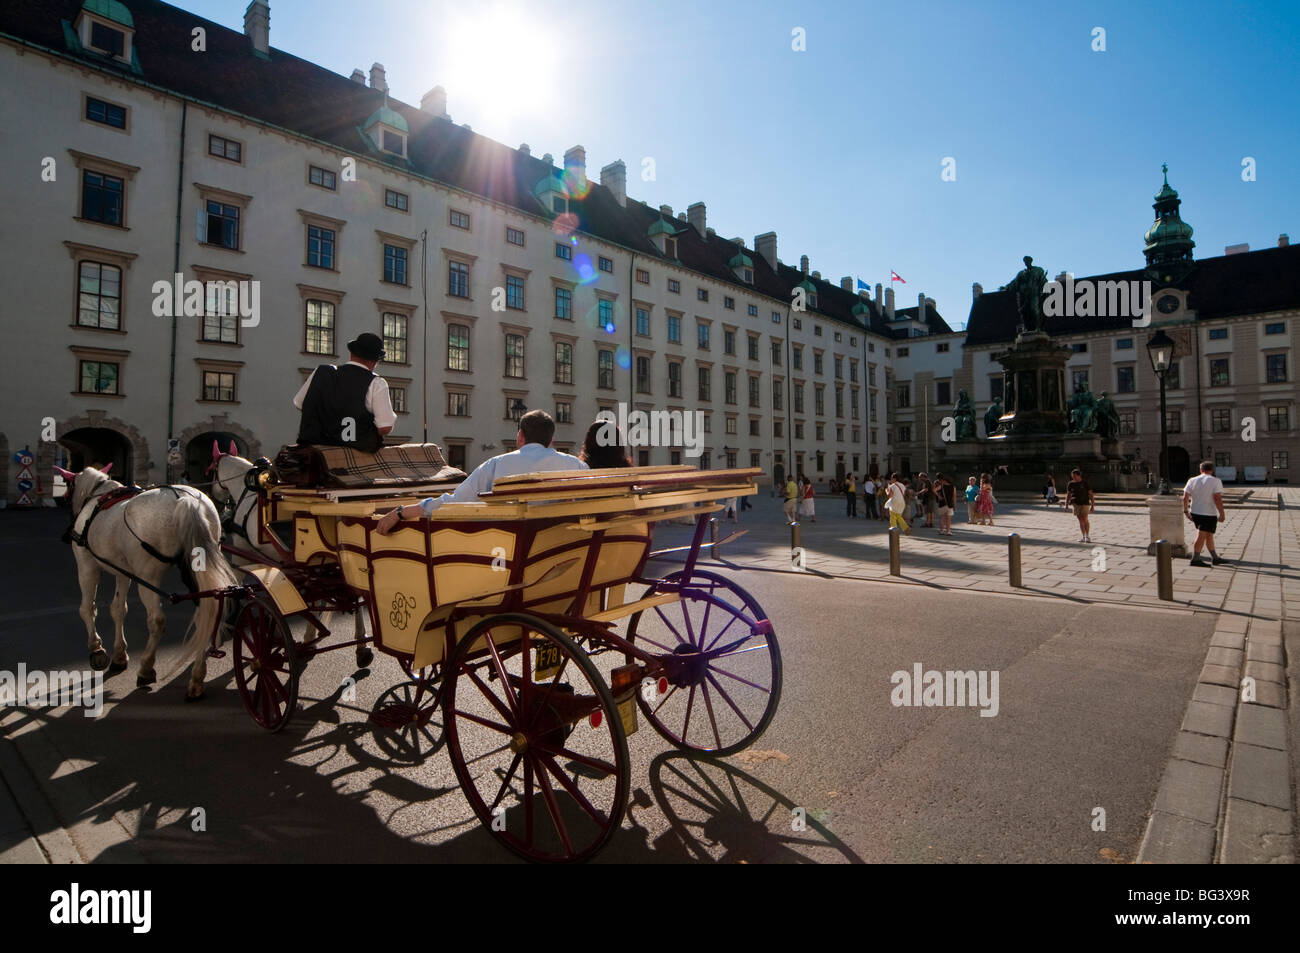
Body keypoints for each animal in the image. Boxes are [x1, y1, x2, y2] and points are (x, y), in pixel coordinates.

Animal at [58, 462, 243, 696]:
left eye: (67, 489)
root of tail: (187, 502)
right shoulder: (123, 571)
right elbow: (118, 609)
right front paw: (119, 656)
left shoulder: (86, 565)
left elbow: (87, 608)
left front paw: (96, 649)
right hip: (195, 569)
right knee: (206, 613)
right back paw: (197, 676)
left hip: (149, 576)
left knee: (157, 620)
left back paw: (146, 667)